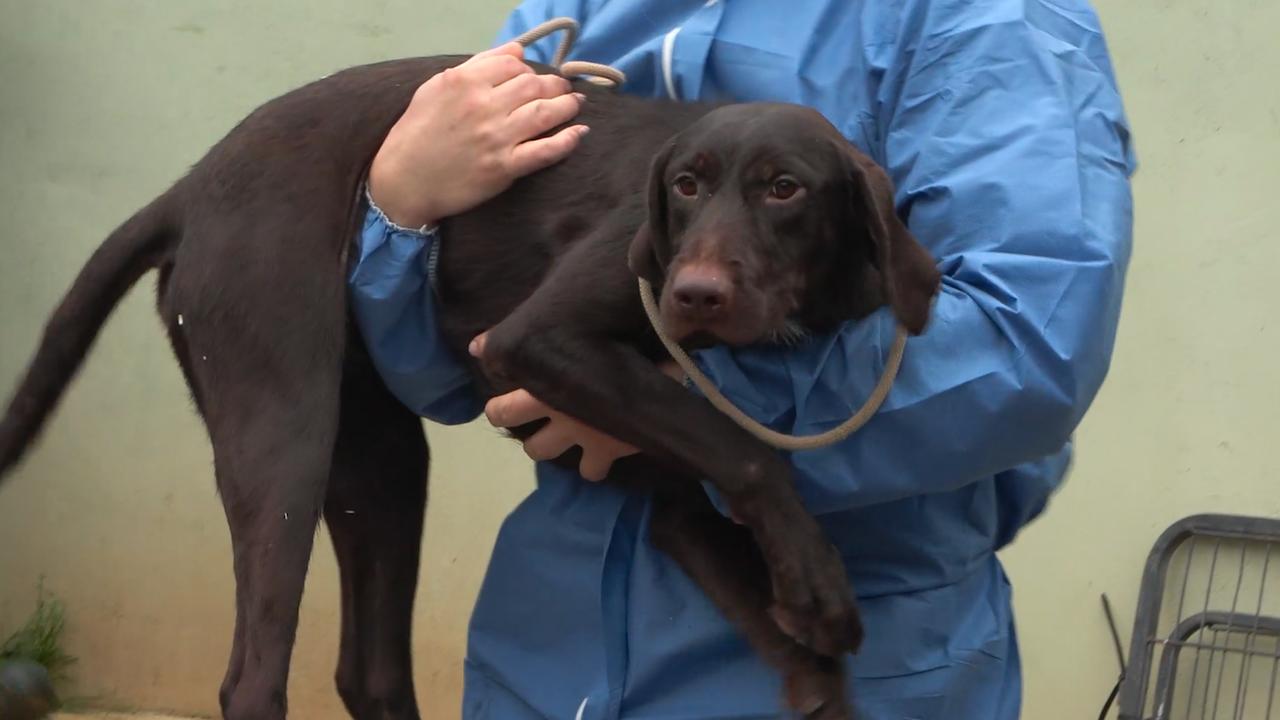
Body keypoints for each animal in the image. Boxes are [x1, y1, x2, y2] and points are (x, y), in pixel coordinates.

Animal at [0, 56, 942, 717]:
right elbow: (744, 450)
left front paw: (804, 614)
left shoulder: (673, 503)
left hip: (379, 461)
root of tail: (193, 184)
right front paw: (816, 578)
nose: (692, 295)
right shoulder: (542, 338)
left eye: (785, 189)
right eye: (685, 186)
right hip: (286, 438)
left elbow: (807, 660)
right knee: (253, 680)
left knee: (369, 671)